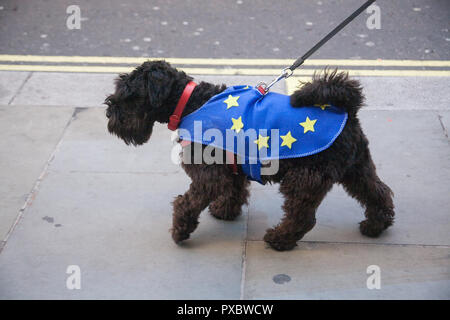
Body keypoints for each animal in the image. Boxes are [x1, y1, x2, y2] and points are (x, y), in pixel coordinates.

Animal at [106, 60, 394, 250]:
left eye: (128, 94)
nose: (109, 113)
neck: (190, 102)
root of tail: (348, 113)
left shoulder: (208, 177)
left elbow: (186, 202)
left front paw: (180, 230)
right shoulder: (232, 169)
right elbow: (234, 191)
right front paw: (225, 211)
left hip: (303, 179)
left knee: (303, 217)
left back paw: (279, 239)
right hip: (357, 169)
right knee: (378, 193)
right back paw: (375, 226)